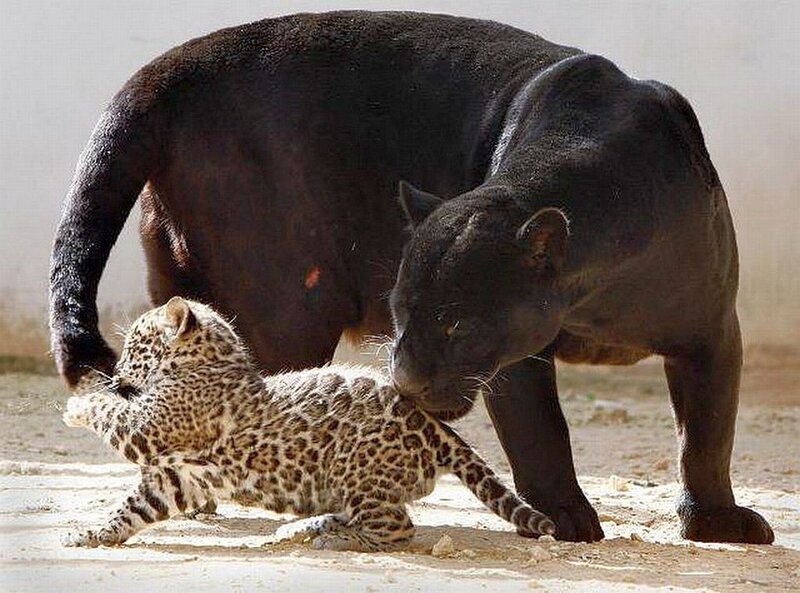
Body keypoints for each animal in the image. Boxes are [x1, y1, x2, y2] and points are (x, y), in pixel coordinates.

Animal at [62, 296, 556, 552]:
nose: (117, 370)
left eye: (136, 345)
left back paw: (332, 540)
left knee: (398, 528)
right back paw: (303, 528)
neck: (209, 363)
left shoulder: (154, 427)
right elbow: (134, 508)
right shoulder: (178, 476)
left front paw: (80, 403)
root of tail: (433, 425)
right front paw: (95, 534)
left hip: (358, 473)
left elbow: (115, 413)